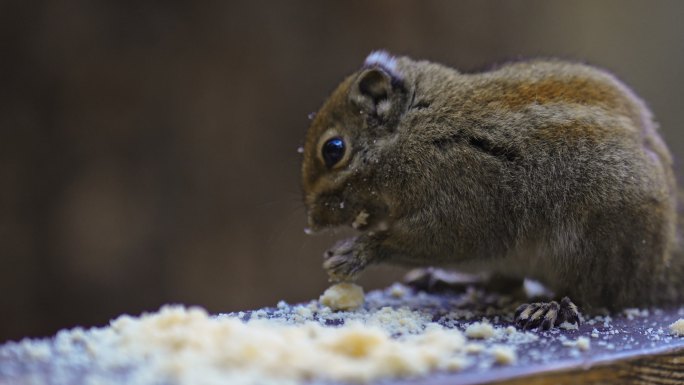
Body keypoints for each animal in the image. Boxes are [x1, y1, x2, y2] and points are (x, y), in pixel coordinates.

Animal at [300, 49, 684, 328]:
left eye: (333, 149)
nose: (313, 222)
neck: (415, 129)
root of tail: (661, 263)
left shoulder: (461, 201)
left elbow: (434, 239)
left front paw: (354, 252)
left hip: (591, 247)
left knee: (593, 297)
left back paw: (552, 307)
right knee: (503, 284)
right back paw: (452, 282)